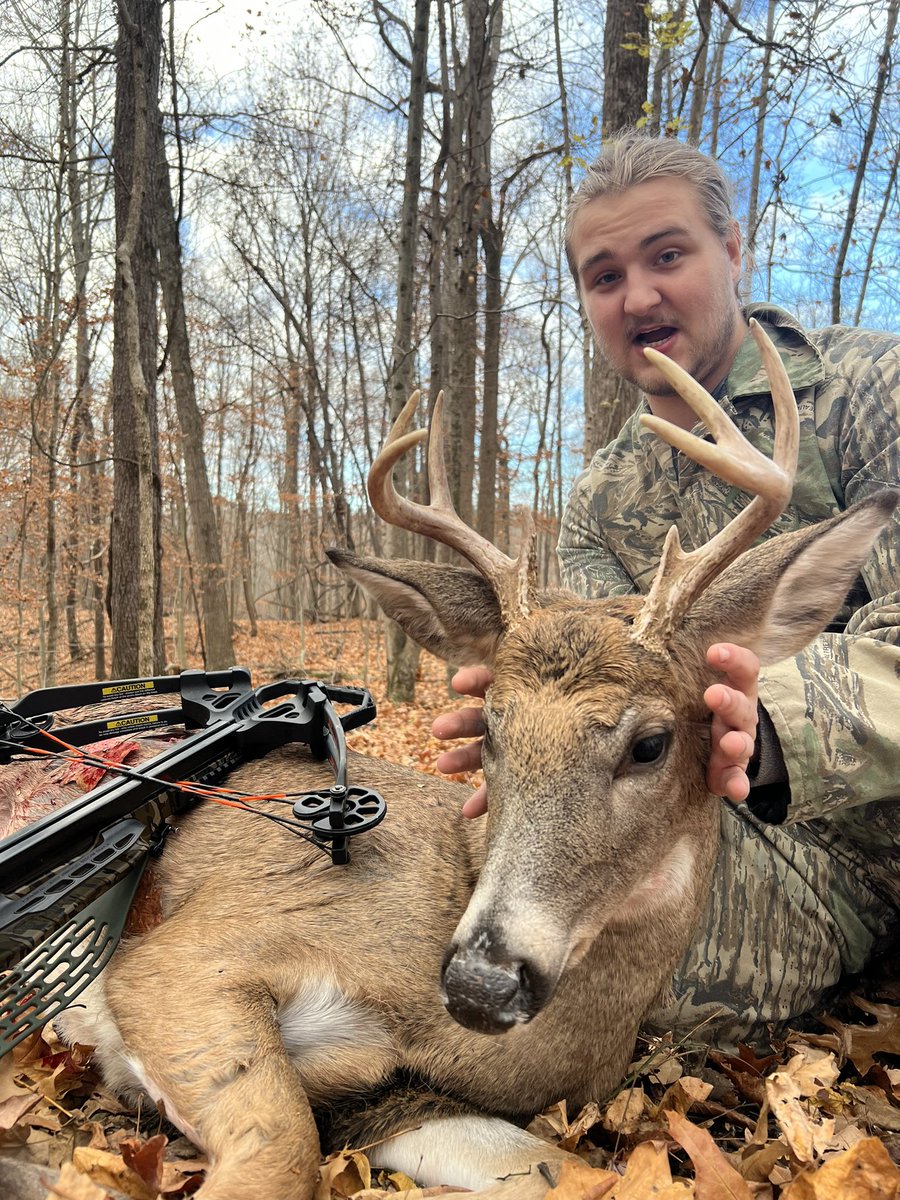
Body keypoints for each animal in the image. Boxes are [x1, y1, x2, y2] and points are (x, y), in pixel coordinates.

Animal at [53, 322, 895, 1200]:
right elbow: (281, 1149)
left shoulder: (393, 1101)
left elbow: (560, 1171)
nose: (481, 982)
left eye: (650, 743)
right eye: (491, 729)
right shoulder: (184, 957)